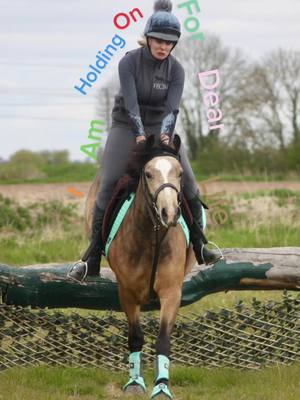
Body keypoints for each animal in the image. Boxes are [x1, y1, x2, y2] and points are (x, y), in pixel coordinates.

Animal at [85, 135, 196, 400]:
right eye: (148, 173)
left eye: (179, 173)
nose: (169, 213)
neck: (152, 234)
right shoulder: (127, 293)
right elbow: (135, 337)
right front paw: (135, 383)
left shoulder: (171, 292)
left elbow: (163, 339)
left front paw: (162, 386)